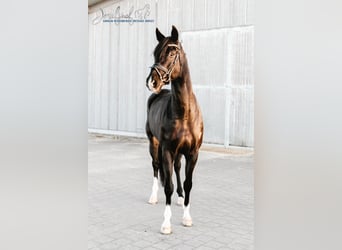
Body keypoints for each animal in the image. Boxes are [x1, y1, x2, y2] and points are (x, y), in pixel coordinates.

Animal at [145, 25, 203, 234]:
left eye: (171, 53)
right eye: (155, 53)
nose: (152, 82)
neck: (184, 113)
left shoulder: (193, 152)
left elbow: (188, 183)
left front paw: (186, 217)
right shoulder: (167, 150)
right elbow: (167, 185)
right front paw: (166, 224)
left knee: (177, 168)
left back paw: (179, 198)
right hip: (153, 143)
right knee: (155, 167)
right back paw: (153, 197)